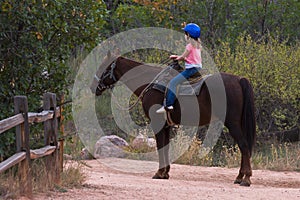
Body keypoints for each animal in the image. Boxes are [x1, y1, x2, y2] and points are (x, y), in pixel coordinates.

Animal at [91, 52, 255, 187]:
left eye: (104, 67)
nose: (94, 87)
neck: (150, 82)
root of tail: (239, 79)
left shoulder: (157, 122)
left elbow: (160, 146)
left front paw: (159, 173)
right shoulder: (166, 125)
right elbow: (165, 146)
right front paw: (165, 173)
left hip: (232, 123)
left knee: (244, 145)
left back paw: (246, 179)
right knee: (244, 146)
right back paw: (239, 177)